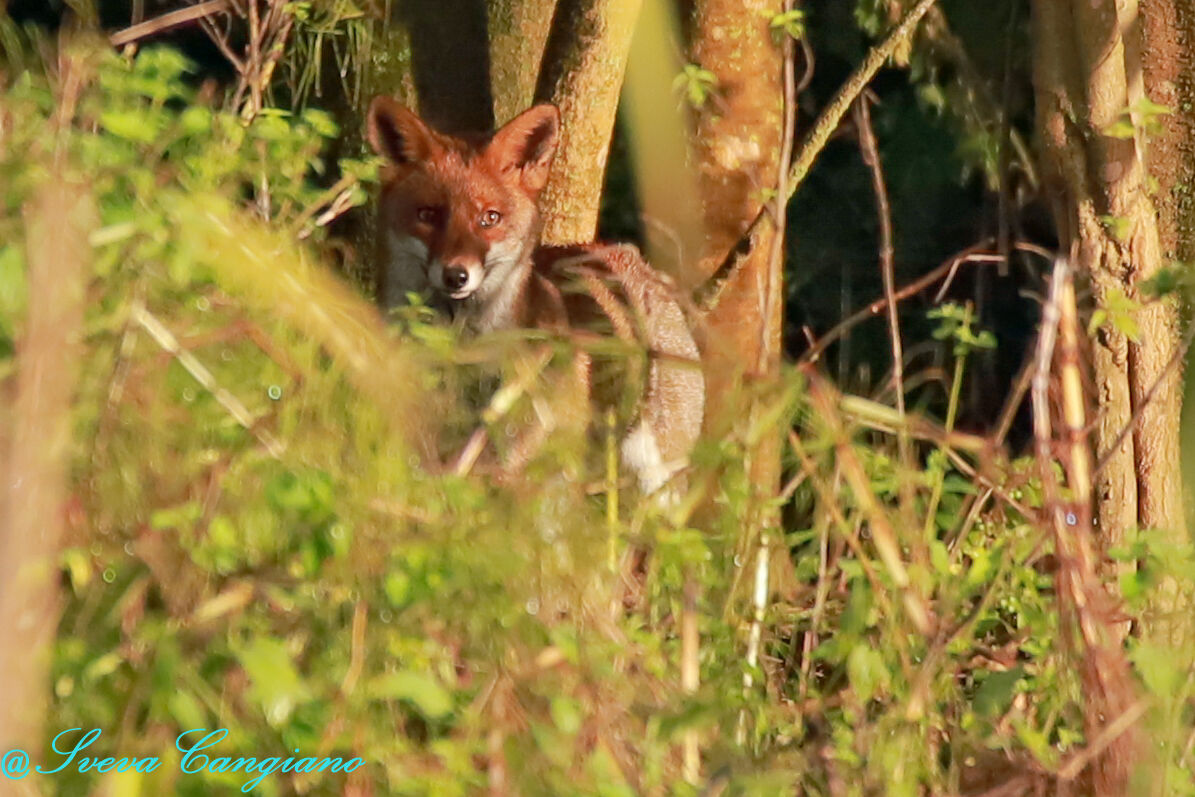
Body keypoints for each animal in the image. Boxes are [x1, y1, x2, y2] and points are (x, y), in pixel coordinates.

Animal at [365, 96, 704, 495]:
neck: (464, 355)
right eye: (428, 215)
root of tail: (628, 254)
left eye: (490, 218)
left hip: (655, 479)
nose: (456, 276)